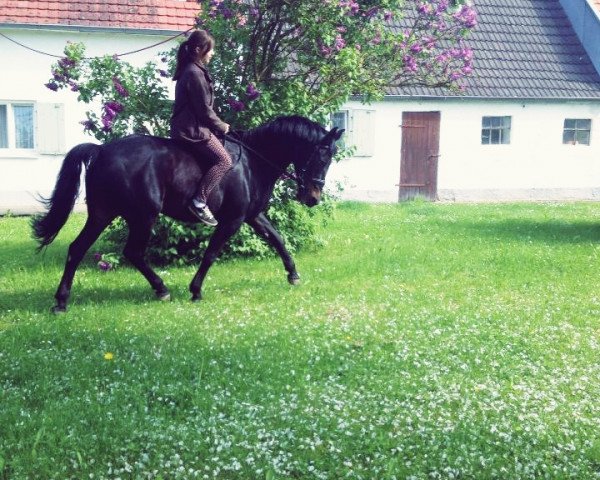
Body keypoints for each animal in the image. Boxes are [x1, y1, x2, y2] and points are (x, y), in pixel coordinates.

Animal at [32, 114, 342, 314]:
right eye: (323, 156)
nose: (313, 198)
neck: (254, 162)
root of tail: (101, 150)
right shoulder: (233, 220)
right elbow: (211, 253)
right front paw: (195, 290)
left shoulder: (252, 215)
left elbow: (278, 240)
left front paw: (293, 275)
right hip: (142, 215)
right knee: (132, 252)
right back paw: (161, 289)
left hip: (103, 213)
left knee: (78, 248)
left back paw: (61, 301)